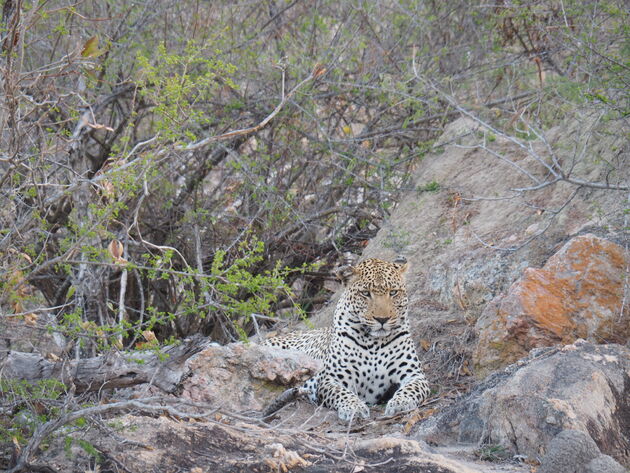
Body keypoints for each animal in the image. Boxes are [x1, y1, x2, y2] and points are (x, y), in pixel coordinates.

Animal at [264, 256, 432, 422]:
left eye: (394, 292)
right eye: (365, 293)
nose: (382, 319)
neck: (375, 344)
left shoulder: (414, 375)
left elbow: (411, 389)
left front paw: (401, 402)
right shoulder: (330, 379)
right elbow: (343, 394)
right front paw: (354, 407)